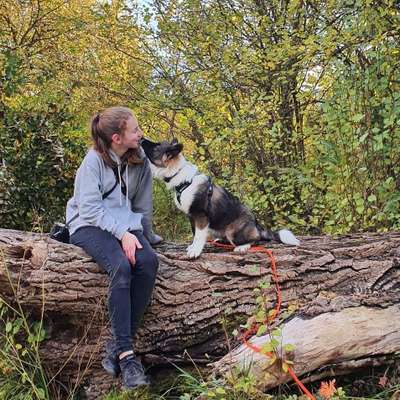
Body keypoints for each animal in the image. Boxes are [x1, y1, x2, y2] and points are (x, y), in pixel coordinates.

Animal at [141, 137, 300, 260]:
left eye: (156, 146)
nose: (141, 139)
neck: (182, 178)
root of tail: (257, 226)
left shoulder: (200, 216)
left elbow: (199, 236)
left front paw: (195, 251)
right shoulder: (192, 217)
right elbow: (195, 235)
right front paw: (192, 247)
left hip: (233, 231)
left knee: (256, 240)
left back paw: (242, 247)